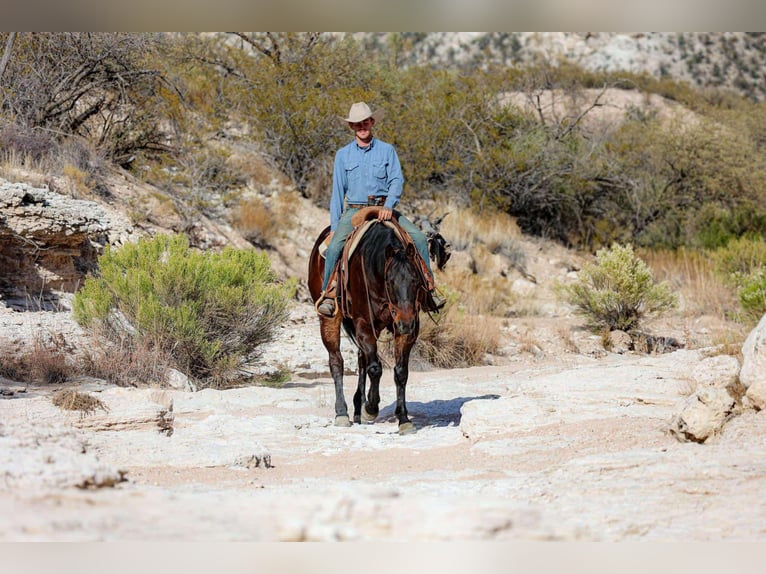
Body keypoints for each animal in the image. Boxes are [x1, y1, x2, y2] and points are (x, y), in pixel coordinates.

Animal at [310, 213, 432, 436]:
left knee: (361, 359)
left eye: (416, 280)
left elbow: (400, 372)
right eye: (390, 281)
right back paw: (342, 413)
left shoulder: (407, 328)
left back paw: (357, 409)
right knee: (337, 362)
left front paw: (403, 419)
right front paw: (371, 408)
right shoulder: (364, 324)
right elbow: (375, 368)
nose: (406, 323)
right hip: (330, 319)